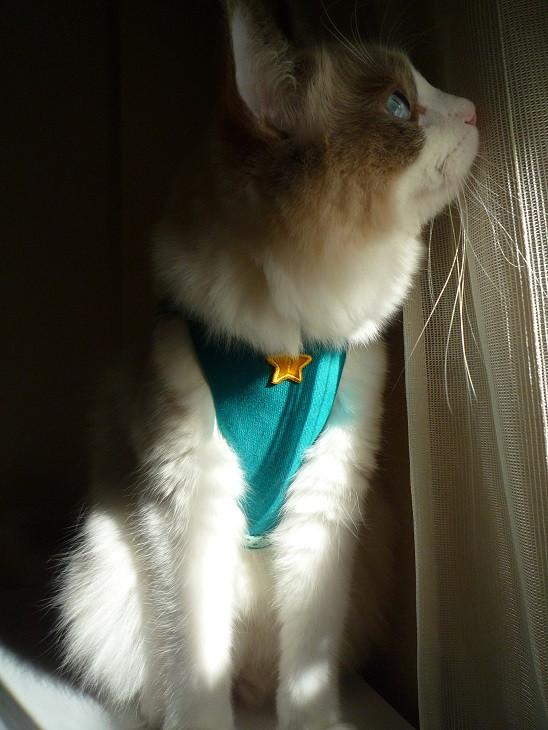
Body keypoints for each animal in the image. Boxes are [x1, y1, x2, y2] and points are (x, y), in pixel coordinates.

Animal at [56, 1, 479, 729]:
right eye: (399, 105)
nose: (476, 108)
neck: (291, 351)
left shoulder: (326, 505)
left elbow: (306, 674)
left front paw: (310, 722)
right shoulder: (189, 506)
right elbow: (197, 673)